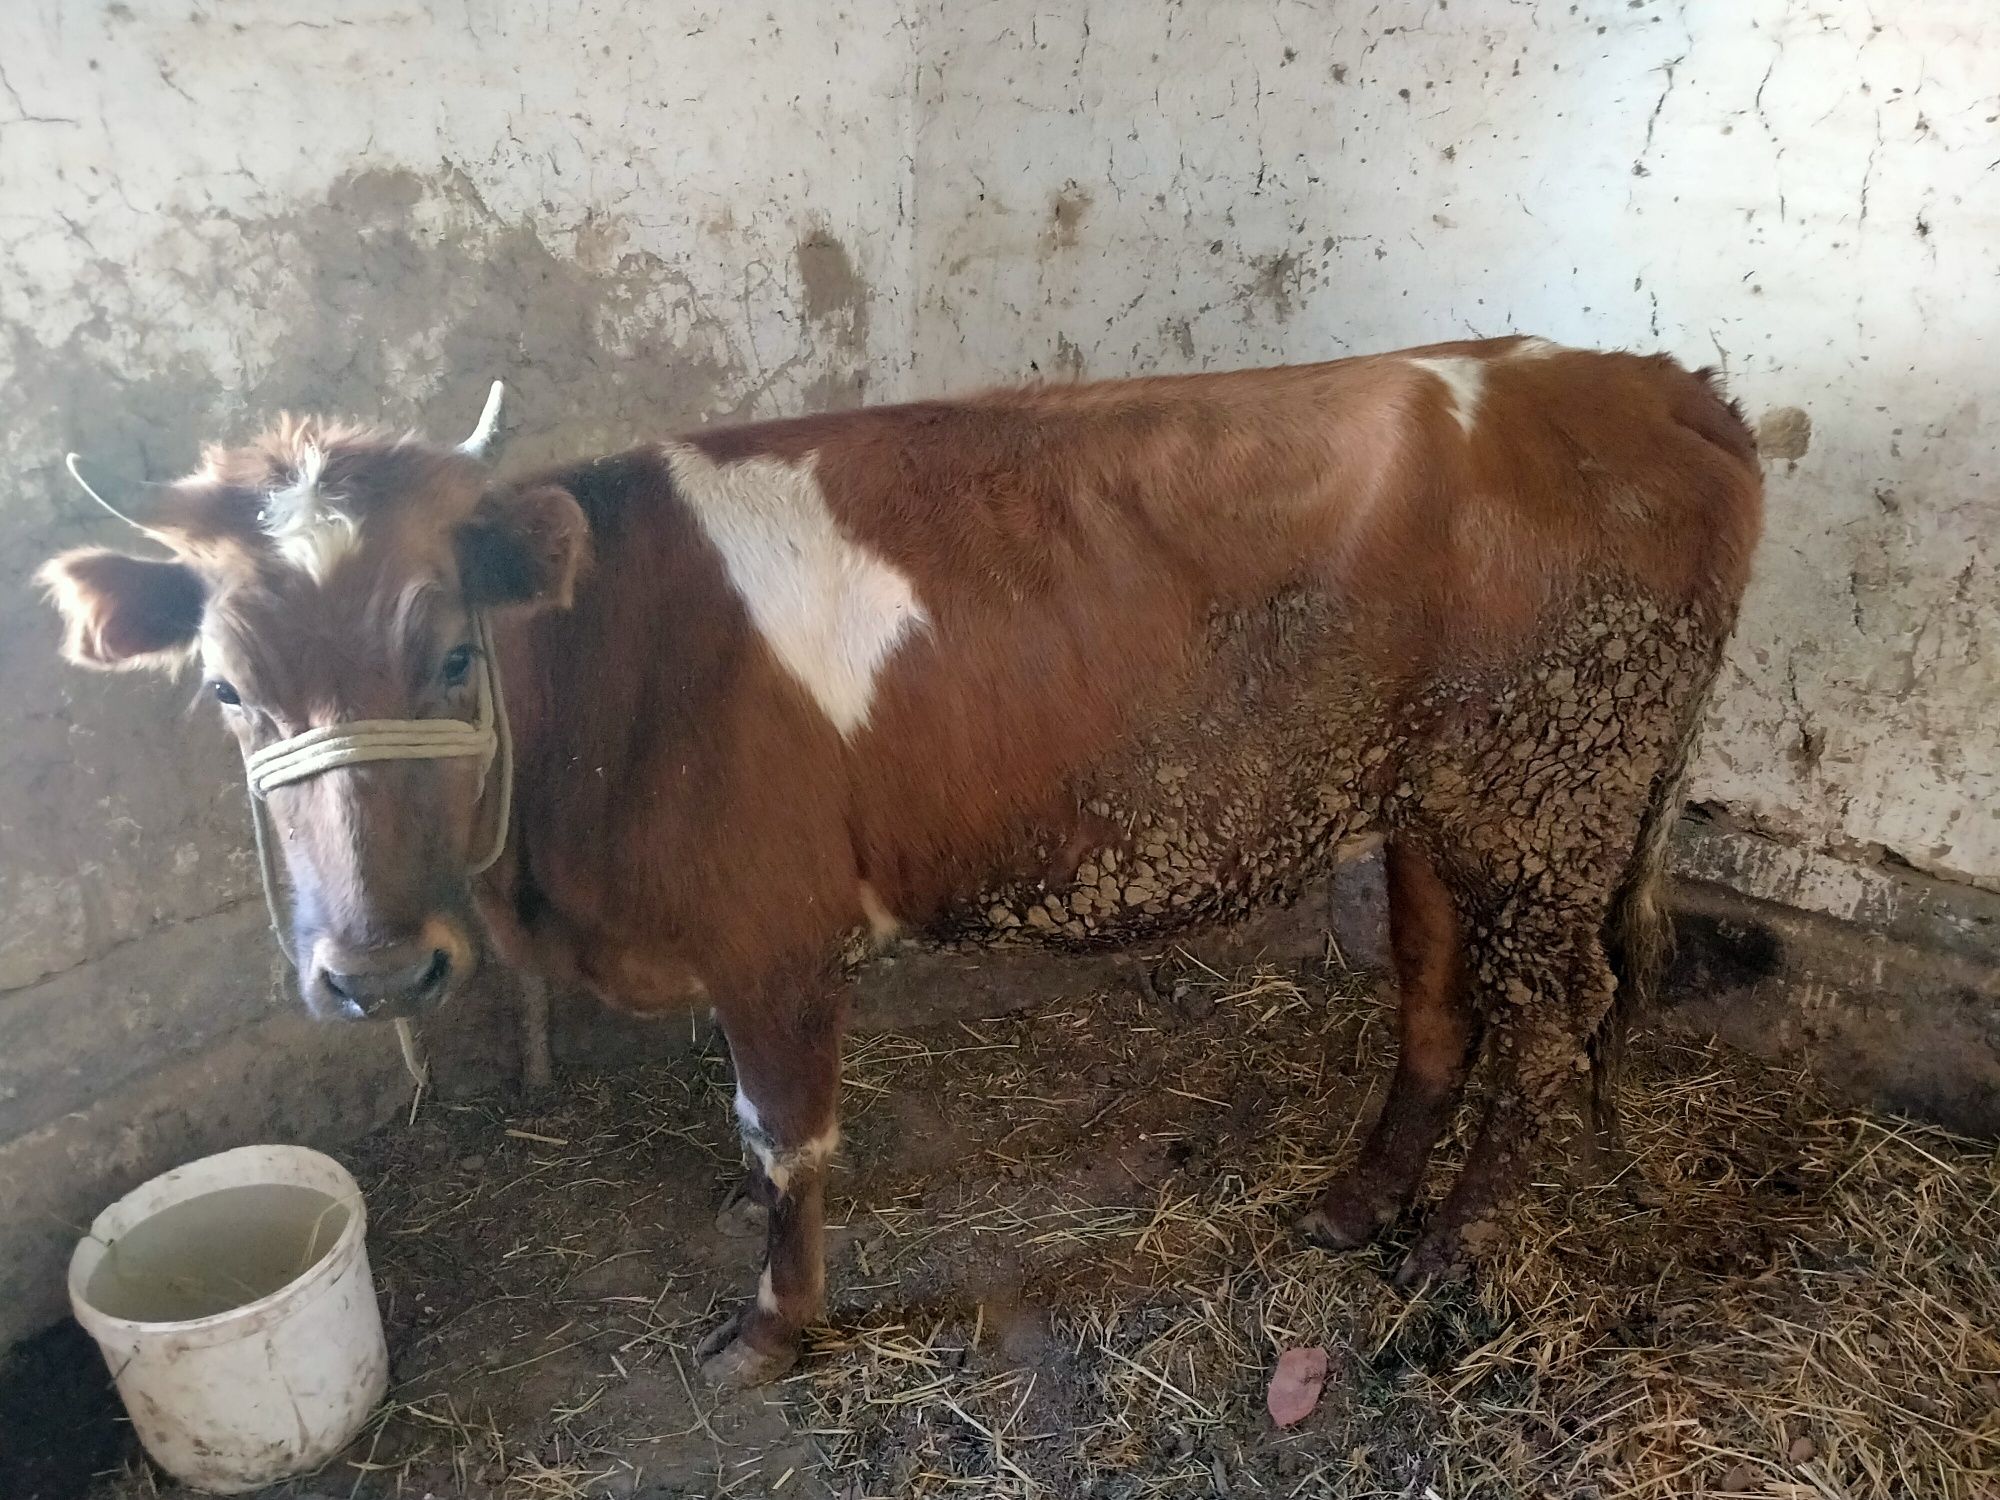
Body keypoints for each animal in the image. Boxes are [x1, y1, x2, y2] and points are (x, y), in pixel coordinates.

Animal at [39, 338, 1768, 1384]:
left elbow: (783, 1139)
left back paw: (1461, 1250)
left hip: (1550, 792)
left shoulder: (774, 931)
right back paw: (1359, 1203)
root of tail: (1651, 379)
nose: (379, 970)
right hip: (1440, 800)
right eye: (225, 689)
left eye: (453, 654)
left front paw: (771, 1330)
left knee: (1548, 1025)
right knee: (1434, 1001)